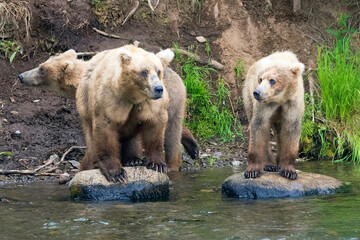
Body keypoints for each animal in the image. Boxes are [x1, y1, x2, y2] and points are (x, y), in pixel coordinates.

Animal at [18, 48, 198, 172]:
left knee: (171, 132)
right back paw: (192, 147)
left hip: (173, 100)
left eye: (42, 69)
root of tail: (176, 74)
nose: (21, 76)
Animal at [243, 51, 306, 180]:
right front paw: (252, 171)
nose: (257, 92)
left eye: (272, 80)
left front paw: (289, 171)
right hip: (248, 97)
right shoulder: (264, 105)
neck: (280, 98)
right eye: (260, 79)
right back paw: (270, 164)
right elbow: (259, 127)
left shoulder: (293, 103)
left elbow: (291, 130)